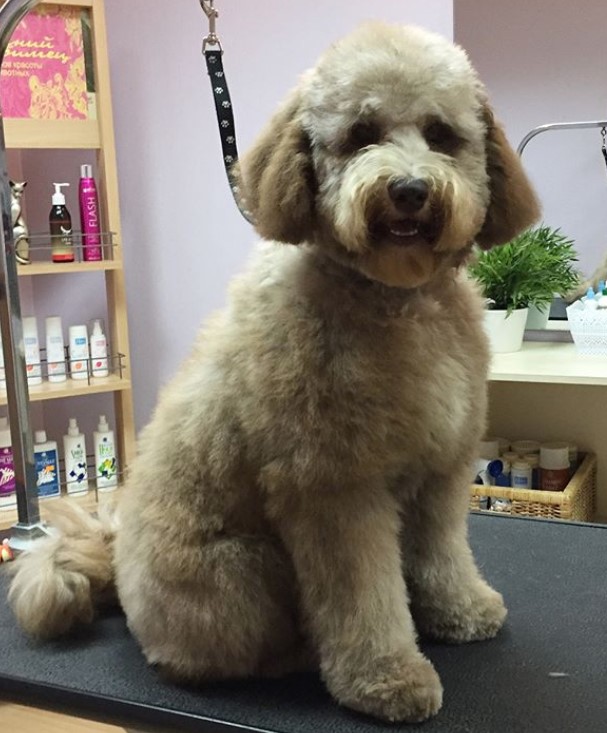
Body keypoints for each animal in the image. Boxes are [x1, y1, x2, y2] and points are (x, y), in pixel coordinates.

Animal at [9, 21, 540, 720]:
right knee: (206, 655)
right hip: (244, 573)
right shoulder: (334, 489)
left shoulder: (441, 468)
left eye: (441, 135)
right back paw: (292, 656)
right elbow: (363, 599)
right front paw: (386, 678)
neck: (394, 299)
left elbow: (443, 552)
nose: (409, 190)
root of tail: (117, 577)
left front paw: (462, 612)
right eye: (361, 134)